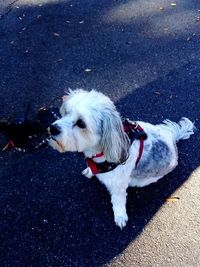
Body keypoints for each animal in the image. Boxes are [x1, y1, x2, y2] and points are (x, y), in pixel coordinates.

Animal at [48, 89, 195, 228]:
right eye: (66, 112)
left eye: (81, 123)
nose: (52, 128)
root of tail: (172, 138)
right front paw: (90, 171)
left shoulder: (118, 186)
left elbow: (118, 201)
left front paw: (120, 216)